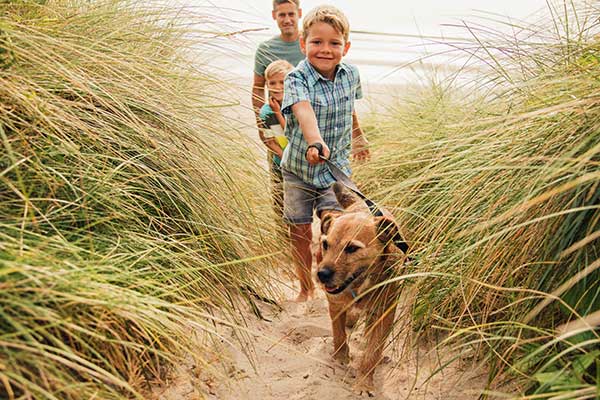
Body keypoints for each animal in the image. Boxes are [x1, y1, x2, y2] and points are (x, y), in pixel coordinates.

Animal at [316, 183, 406, 396]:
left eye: (352, 248)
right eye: (325, 244)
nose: (322, 274)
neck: (360, 284)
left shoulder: (383, 315)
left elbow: (372, 352)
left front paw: (364, 382)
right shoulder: (335, 304)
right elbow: (339, 334)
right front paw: (341, 357)